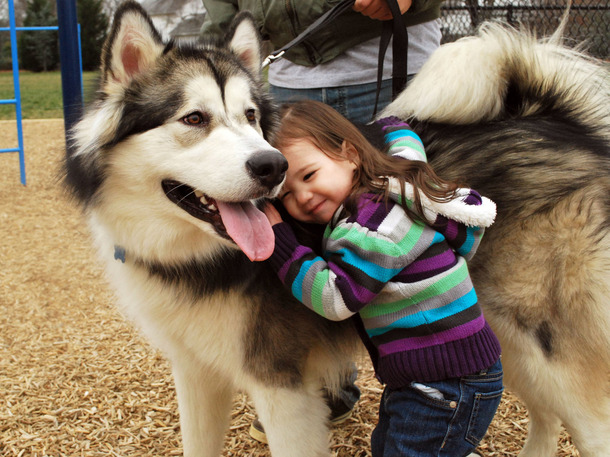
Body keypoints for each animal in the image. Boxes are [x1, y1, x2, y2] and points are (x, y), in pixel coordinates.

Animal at [64, 1, 604, 454]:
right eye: (194, 118)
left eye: (251, 116)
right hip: (509, 343)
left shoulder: (282, 388)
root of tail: (559, 124)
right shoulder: (196, 372)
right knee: (546, 418)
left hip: (551, 355)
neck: (197, 256)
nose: (272, 166)